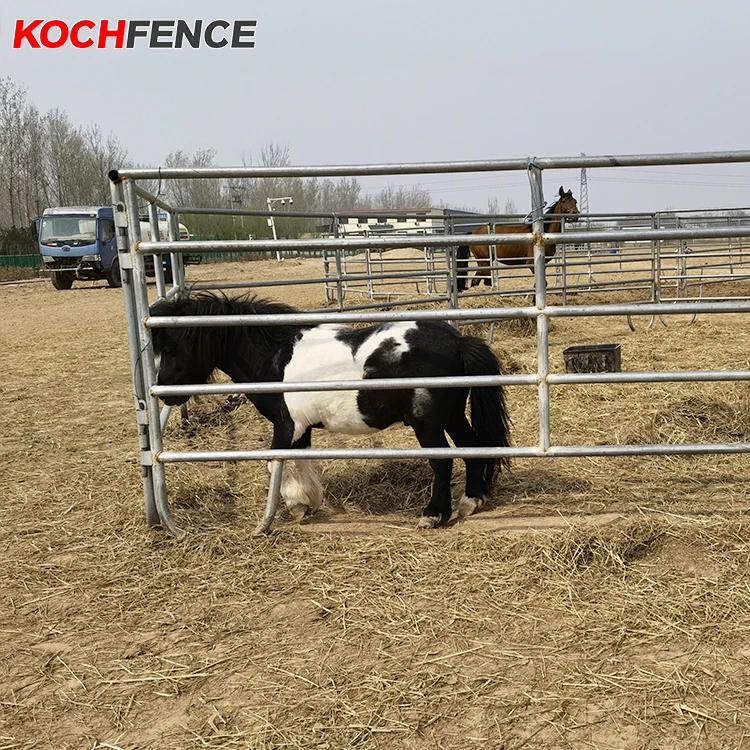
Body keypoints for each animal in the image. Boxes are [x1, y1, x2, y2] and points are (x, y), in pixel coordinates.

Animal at [149, 292, 511, 530]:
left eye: (172, 345)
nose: (163, 388)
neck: (275, 357)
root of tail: (459, 341)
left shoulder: (286, 425)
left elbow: (275, 463)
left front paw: (292, 506)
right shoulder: (301, 429)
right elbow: (301, 461)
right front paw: (307, 502)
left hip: (427, 424)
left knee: (443, 461)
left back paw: (433, 514)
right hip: (452, 415)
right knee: (472, 448)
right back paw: (471, 501)